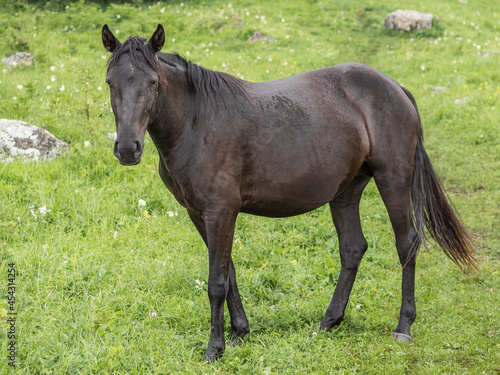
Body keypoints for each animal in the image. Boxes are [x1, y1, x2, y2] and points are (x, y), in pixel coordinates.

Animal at [100, 24, 476, 364]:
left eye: (152, 82)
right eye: (110, 83)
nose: (128, 149)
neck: (197, 122)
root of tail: (395, 87)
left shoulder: (220, 211)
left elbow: (216, 282)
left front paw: (214, 349)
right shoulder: (199, 212)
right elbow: (229, 272)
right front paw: (239, 333)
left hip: (393, 180)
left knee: (406, 243)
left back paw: (403, 326)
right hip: (346, 191)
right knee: (353, 248)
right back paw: (329, 321)